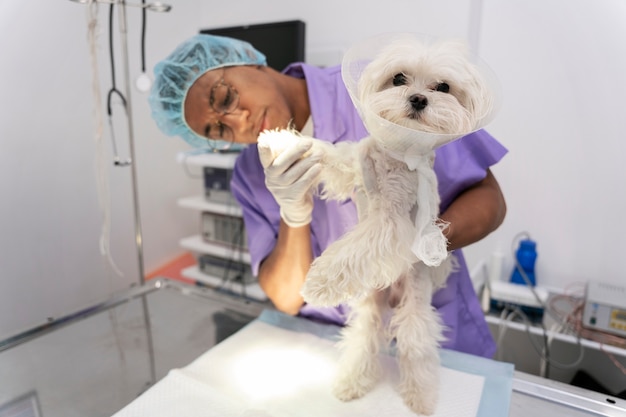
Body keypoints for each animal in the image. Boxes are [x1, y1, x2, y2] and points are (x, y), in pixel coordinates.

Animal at [256, 33, 494, 416]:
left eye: (443, 87)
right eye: (398, 78)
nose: (418, 98)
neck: (398, 153)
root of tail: (393, 295)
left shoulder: (392, 221)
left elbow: (354, 249)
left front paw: (319, 282)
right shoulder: (354, 163)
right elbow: (323, 152)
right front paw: (279, 142)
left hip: (415, 307)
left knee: (415, 345)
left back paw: (420, 398)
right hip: (370, 306)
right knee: (364, 339)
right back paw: (352, 382)